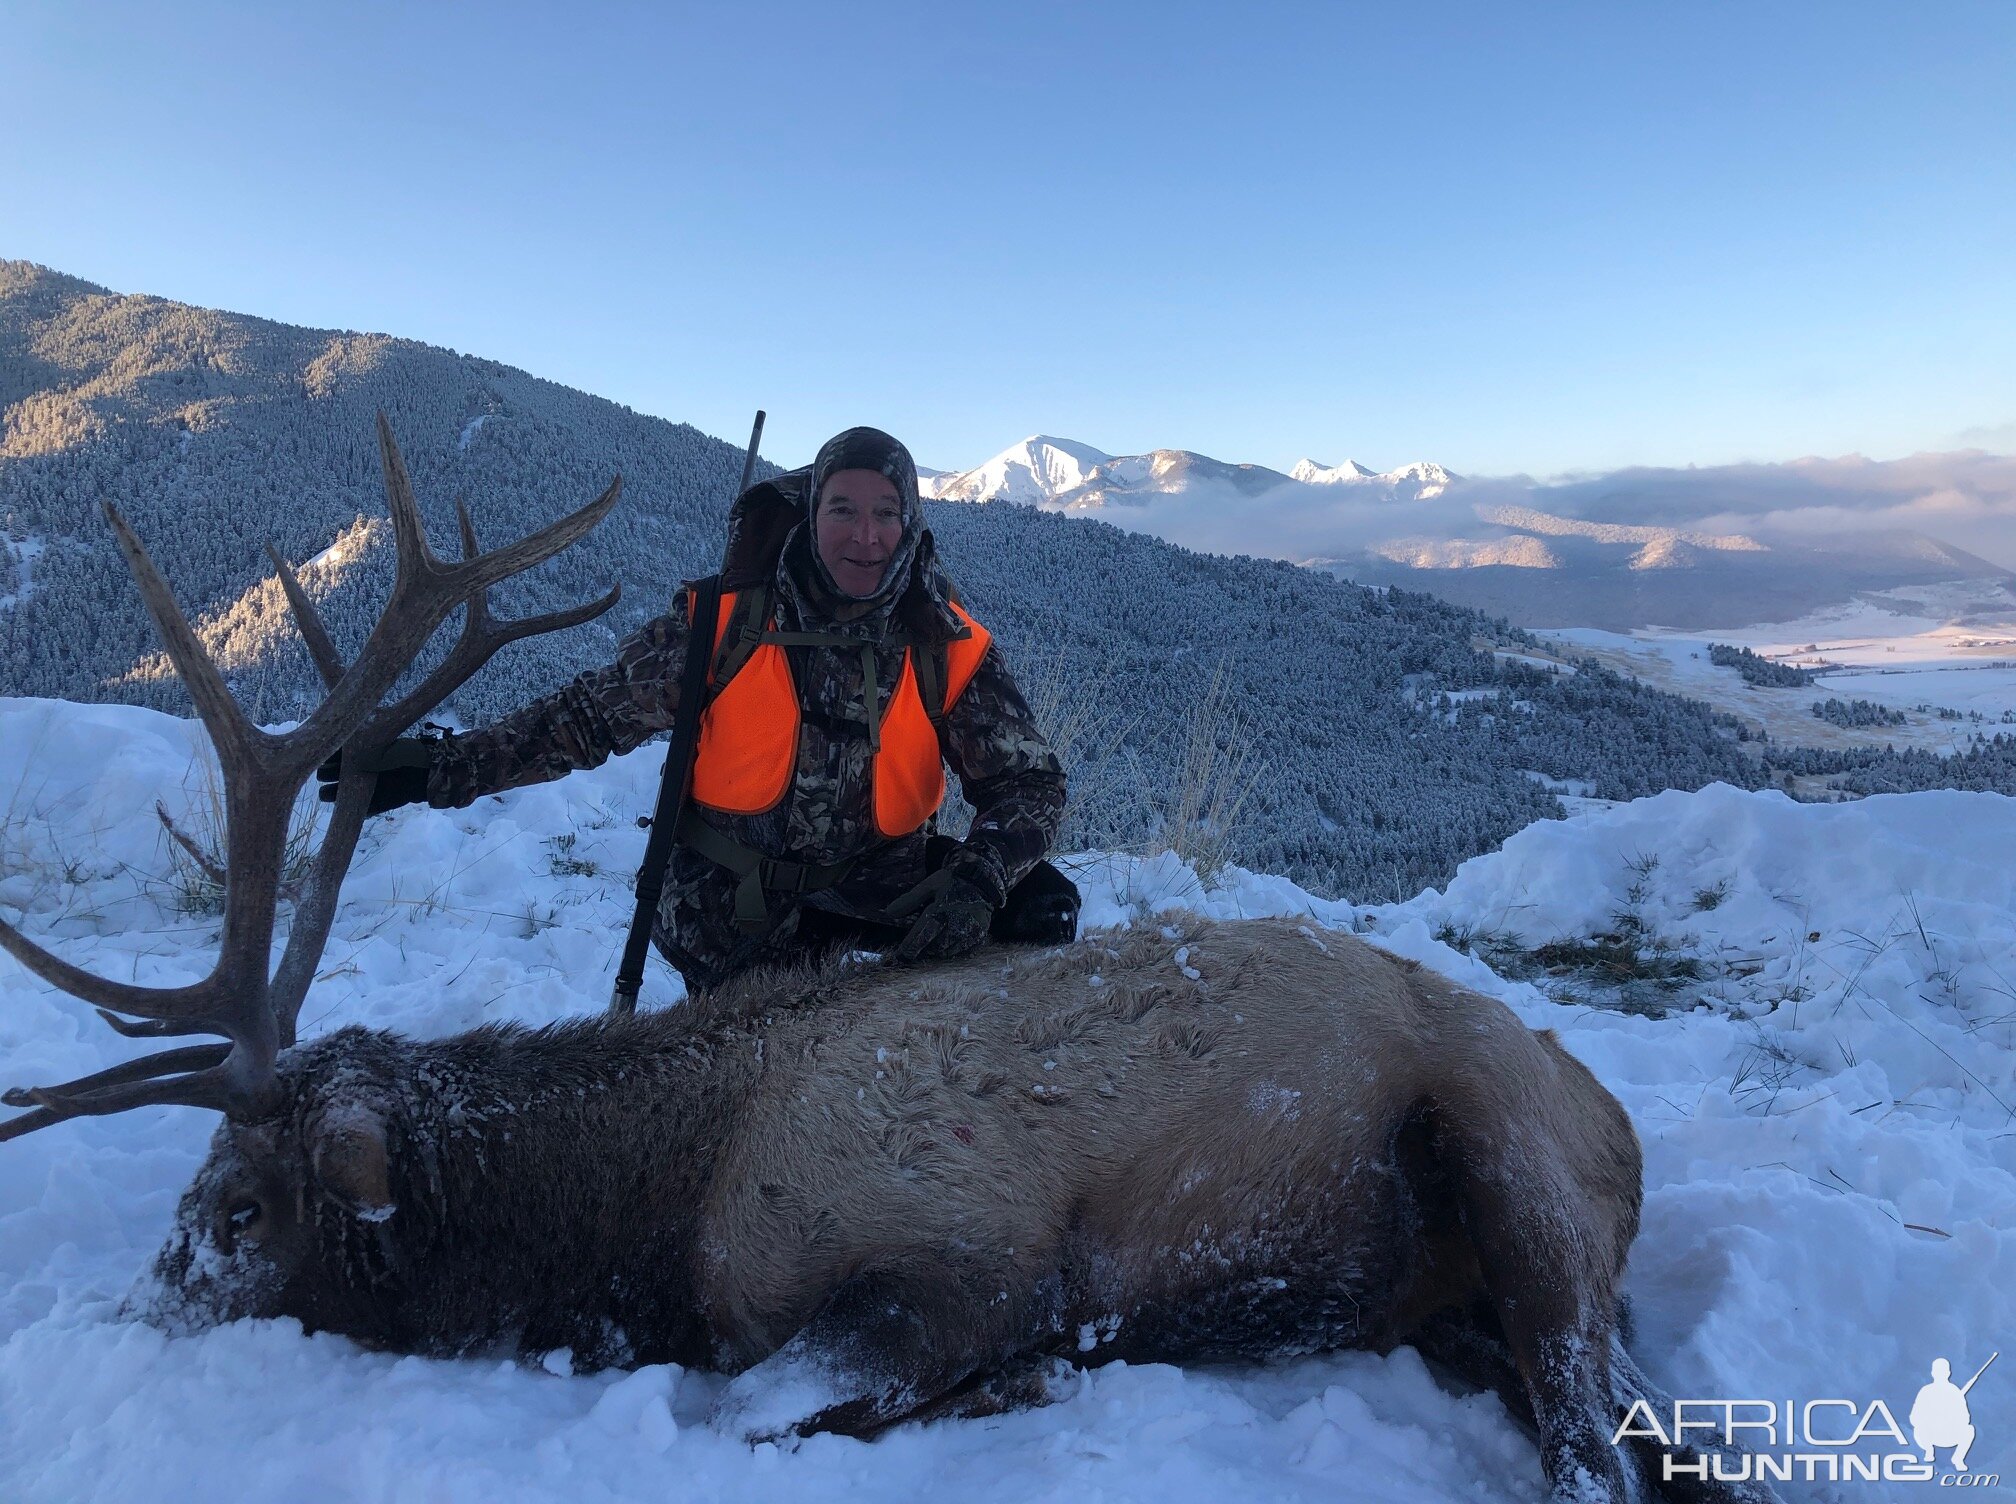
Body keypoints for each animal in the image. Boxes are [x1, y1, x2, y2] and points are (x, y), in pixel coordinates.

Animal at [0, 419, 1766, 1499]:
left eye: (236, 1210)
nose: (134, 1316)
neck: (658, 1213)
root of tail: (1612, 1112)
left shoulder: (959, 1252)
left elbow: (780, 1412)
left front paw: (1020, 1391)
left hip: (1511, 1155)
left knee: (1600, 1448)